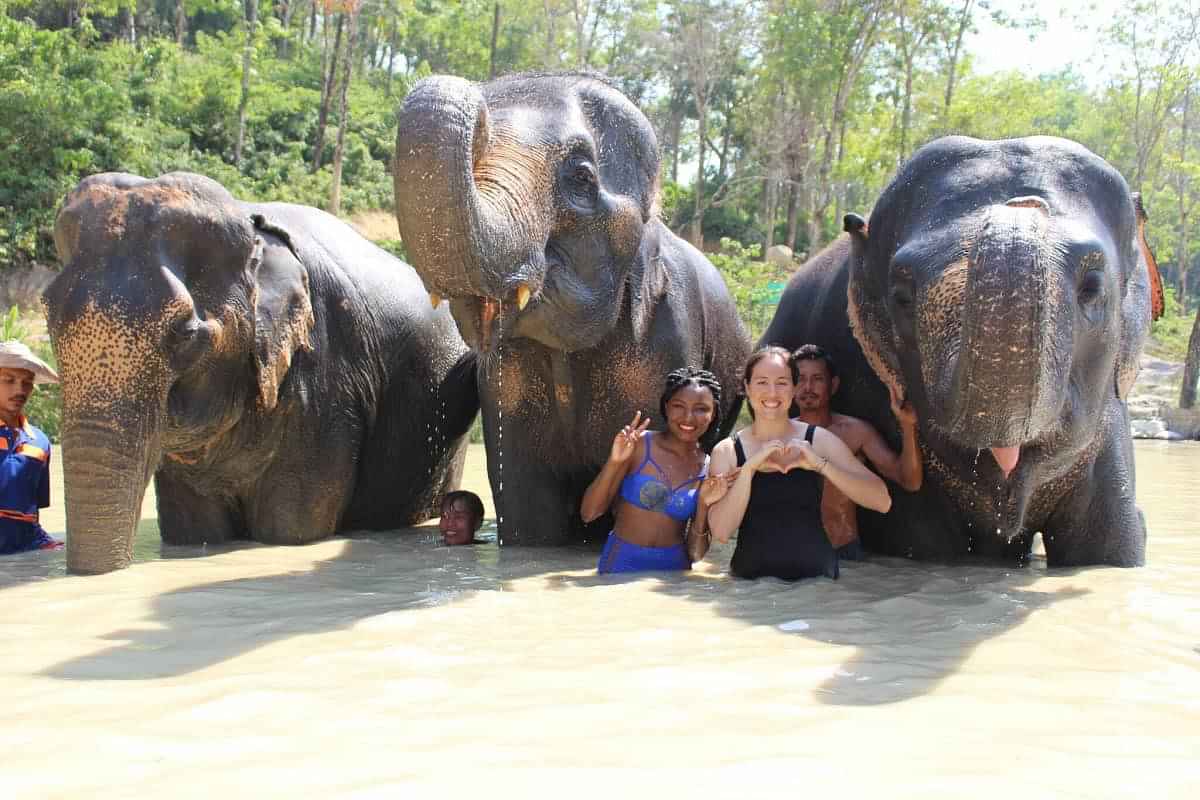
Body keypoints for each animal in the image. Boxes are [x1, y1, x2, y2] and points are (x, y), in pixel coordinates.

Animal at [46, 173, 477, 575]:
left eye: (185, 333)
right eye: (47, 314)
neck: (248, 223)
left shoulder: (327, 381)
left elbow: (289, 530)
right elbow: (194, 531)